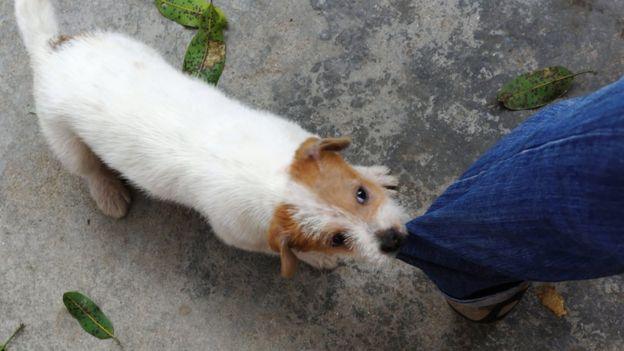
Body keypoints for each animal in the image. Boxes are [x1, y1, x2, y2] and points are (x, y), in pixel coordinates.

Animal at [14, 0, 410, 278]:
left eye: (361, 194)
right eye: (337, 240)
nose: (393, 240)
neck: (272, 176)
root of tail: (52, 50)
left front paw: (374, 173)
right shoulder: (239, 233)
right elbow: (282, 251)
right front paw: (315, 257)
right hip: (63, 137)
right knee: (87, 169)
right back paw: (107, 192)